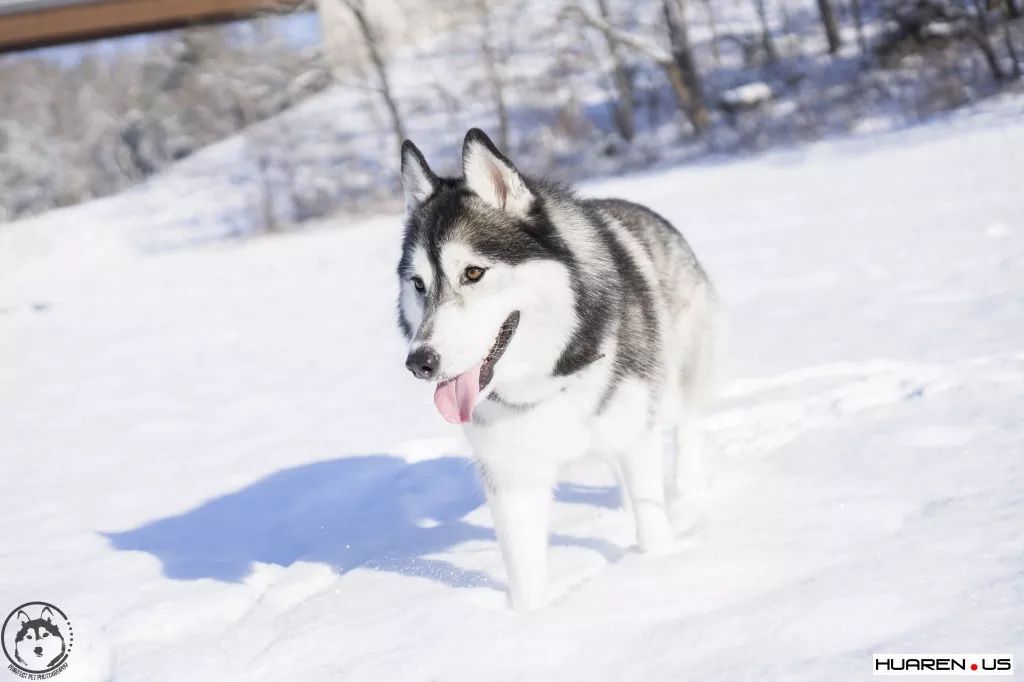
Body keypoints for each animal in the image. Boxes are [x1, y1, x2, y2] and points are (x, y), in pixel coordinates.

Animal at [395, 130, 716, 606]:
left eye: (473, 272)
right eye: (418, 284)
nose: (420, 362)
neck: (547, 379)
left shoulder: (636, 435)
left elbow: (653, 526)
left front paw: (656, 567)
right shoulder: (511, 477)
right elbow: (525, 574)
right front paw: (531, 619)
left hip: (675, 383)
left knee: (686, 425)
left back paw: (688, 490)